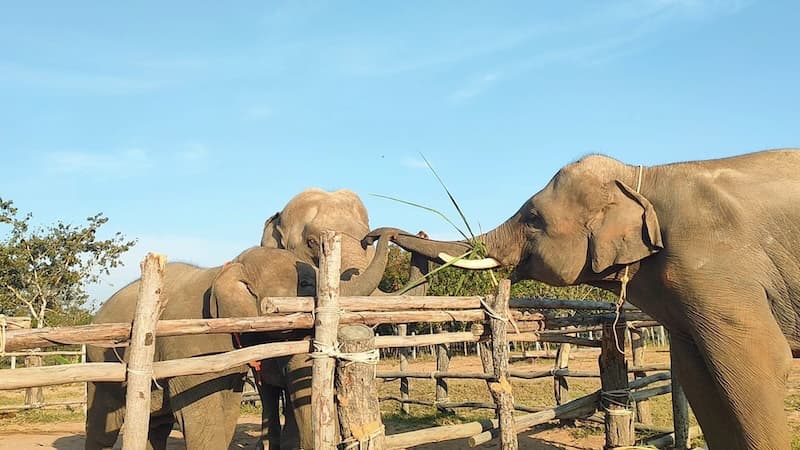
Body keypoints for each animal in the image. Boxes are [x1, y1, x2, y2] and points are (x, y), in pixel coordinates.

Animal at [85, 233, 393, 450]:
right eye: (306, 284)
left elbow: (226, 408)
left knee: (156, 426)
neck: (229, 268)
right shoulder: (191, 344)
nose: (372, 237)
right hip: (100, 360)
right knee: (102, 429)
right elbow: (200, 412)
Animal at [371, 149, 800, 450]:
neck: (642, 177)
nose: (377, 234)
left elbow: (760, 363)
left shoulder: (717, 265)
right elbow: (698, 376)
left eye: (532, 218)